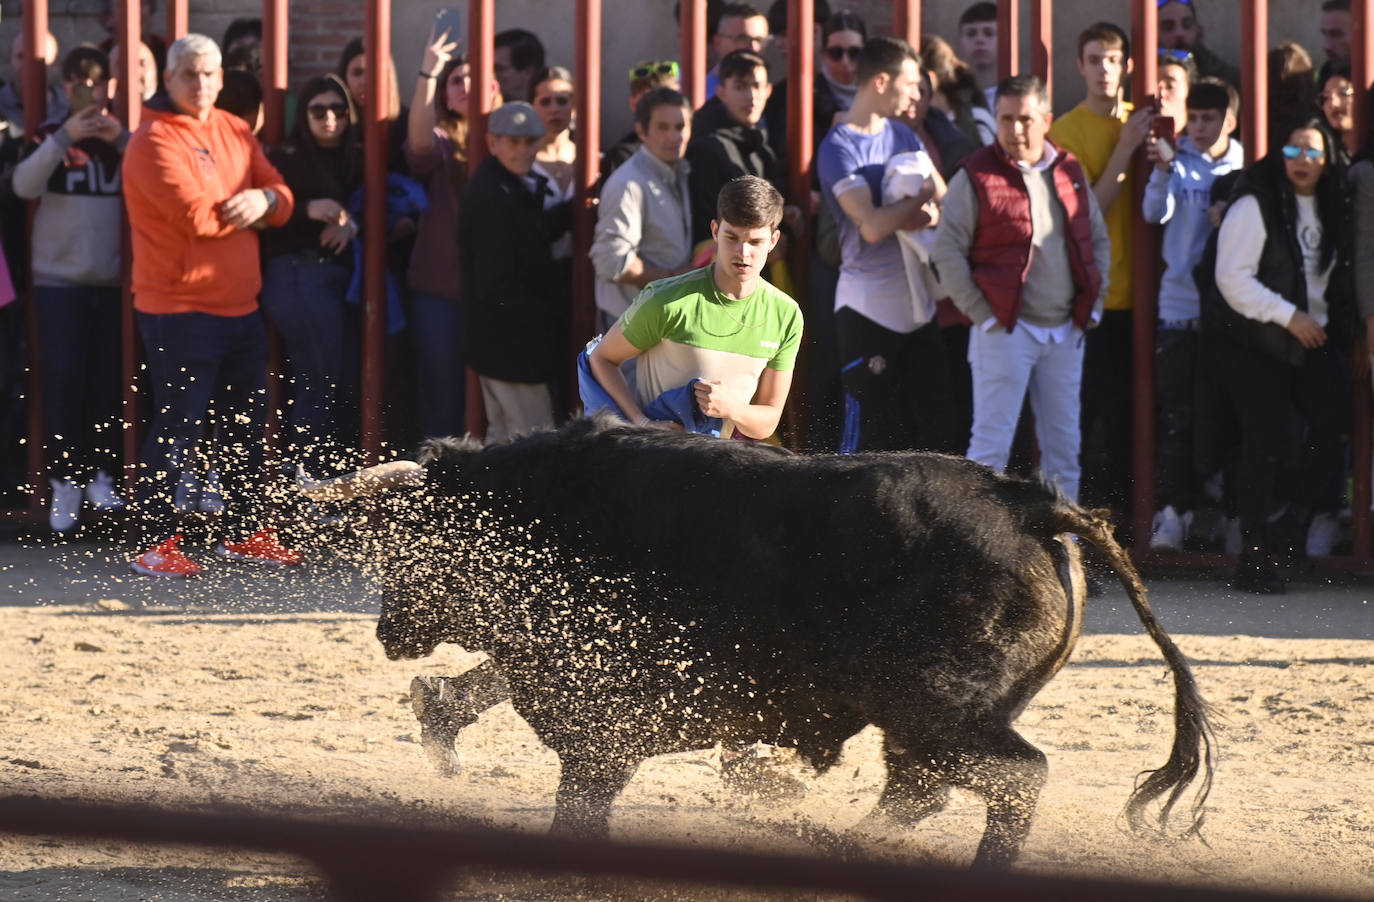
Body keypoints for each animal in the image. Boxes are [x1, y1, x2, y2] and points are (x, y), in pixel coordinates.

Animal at [306, 415, 1220, 869]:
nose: (386, 634)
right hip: (927, 723)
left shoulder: (597, 720)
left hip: (940, 711)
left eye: (411, 541)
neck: (534, 511)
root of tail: (1029, 502)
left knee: (1014, 780)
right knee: (921, 790)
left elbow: (580, 806)